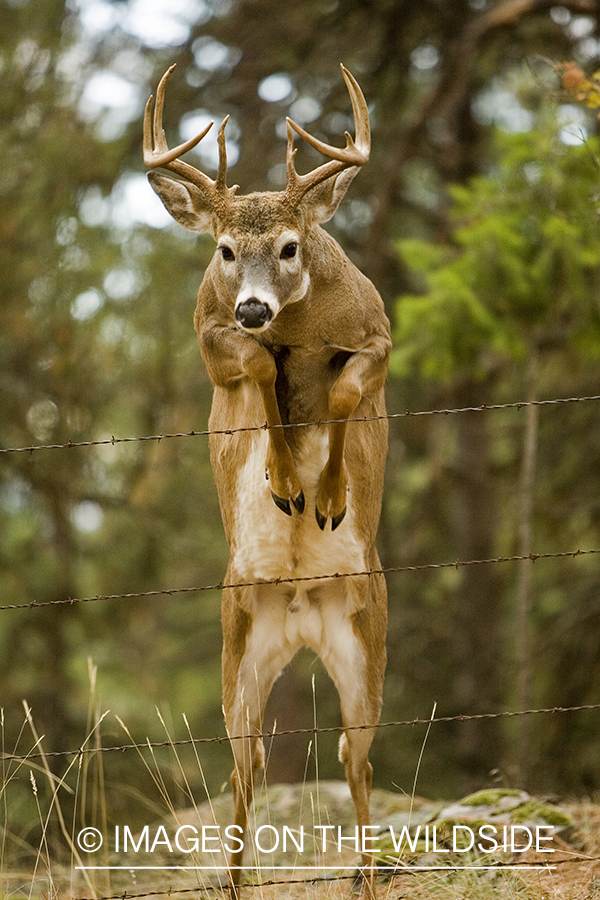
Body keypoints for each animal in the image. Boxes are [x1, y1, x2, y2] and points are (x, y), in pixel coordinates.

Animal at [144, 61, 392, 892]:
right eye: (224, 249)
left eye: (290, 246)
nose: (253, 307)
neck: (300, 325)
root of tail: (303, 613)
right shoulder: (209, 337)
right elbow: (258, 378)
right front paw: (285, 483)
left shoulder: (380, 335)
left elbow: (342, 395)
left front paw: (329, 498)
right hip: (239, 640)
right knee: (246, 761)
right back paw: (234, 879)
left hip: (369, 632)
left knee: (354, 751)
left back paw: (367, 873)